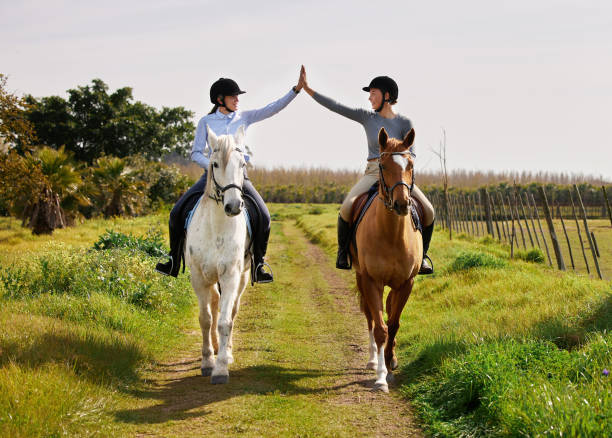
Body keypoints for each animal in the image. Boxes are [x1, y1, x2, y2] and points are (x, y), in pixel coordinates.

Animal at [186, 125, 253, 384]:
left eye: (243, 164)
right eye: (214, 164)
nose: (233, 206)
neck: (216, 228)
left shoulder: (231, 275)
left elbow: (225, 322)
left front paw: (222, 367)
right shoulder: (198, 277)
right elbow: (205, 319)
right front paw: (207, 362)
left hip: (242, 277)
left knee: (231, 311)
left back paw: (227, 351)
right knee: (214, 304)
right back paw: (215, 348)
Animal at [352, 126, 424, 394]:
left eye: (410, 164)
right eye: (383, 166)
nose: (402, 204)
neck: (392, 234)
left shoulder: (406, 283)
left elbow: (393, 324)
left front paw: (391, 364)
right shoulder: (372, 281)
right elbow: (381, 328)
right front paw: (381, 377)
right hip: (361, 276)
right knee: (371, 318)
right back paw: (374, 359)